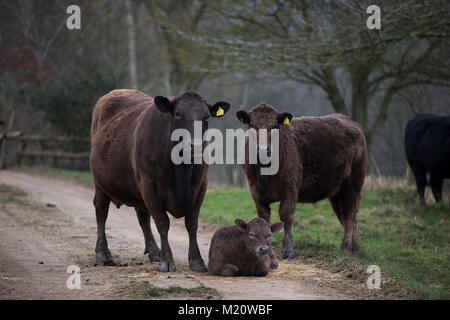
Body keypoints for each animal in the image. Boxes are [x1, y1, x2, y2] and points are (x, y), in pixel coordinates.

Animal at [89, 89, 230, 272]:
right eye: (178, 114)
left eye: (206, 117)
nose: (196, 145)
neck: (182, 170)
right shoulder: (149, 185)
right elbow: (162, 222)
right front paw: (167, 260)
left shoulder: (200, 186)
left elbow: (192, 223)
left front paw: (197, 261)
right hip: (100, 183)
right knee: (101, 212)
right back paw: (103, 254)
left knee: (142, 216)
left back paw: (154, 251)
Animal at [236, 102, 366, 258]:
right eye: (252, 126)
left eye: (274, 126)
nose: (262, 149)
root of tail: (352, 123)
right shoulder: (255, 191)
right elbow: (263, 218)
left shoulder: (290, 188)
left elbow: (286, 216)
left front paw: (288, 250)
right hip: (336, 192)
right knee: (347, 215)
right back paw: (356, 248)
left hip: (353, 183)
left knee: (349, 214)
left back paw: (346, 247)